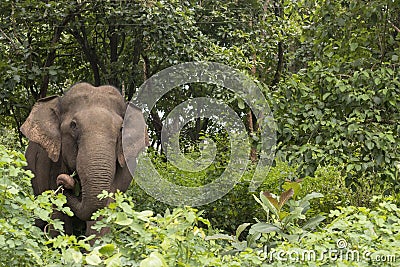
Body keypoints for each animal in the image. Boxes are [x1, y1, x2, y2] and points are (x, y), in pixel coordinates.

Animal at [20, 83, 148, 237]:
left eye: (120, 129)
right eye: (73, 125)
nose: (64, 183)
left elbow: (102, 209)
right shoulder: (48, 163)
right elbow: (58, 214)